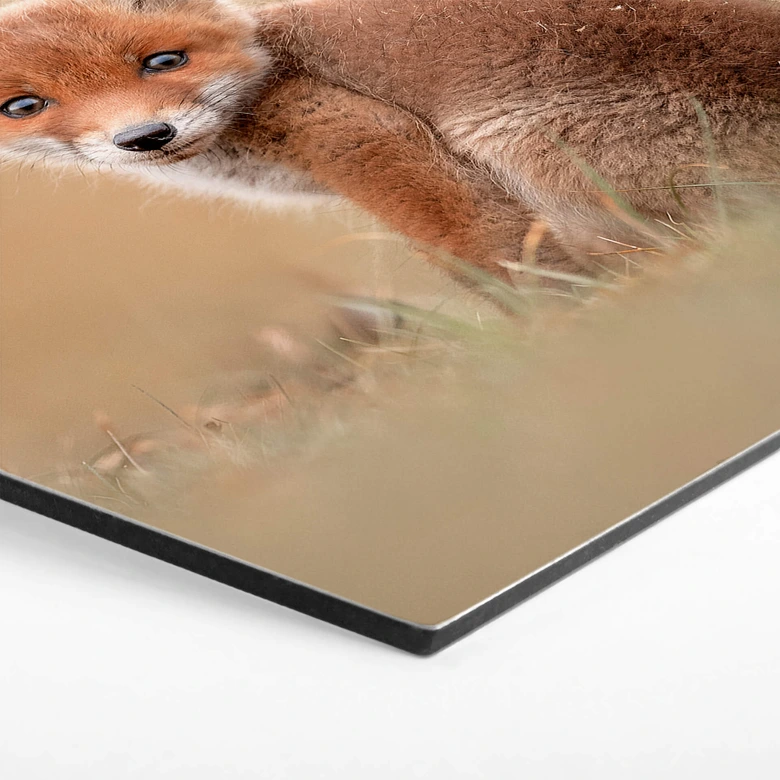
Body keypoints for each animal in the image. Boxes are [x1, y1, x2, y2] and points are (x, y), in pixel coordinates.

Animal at [0, 0, 778, 282]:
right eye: (24, 106)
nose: (145, 135)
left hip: (532, 151)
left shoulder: (363, 136)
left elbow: (498, 264)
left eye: (164, 60)